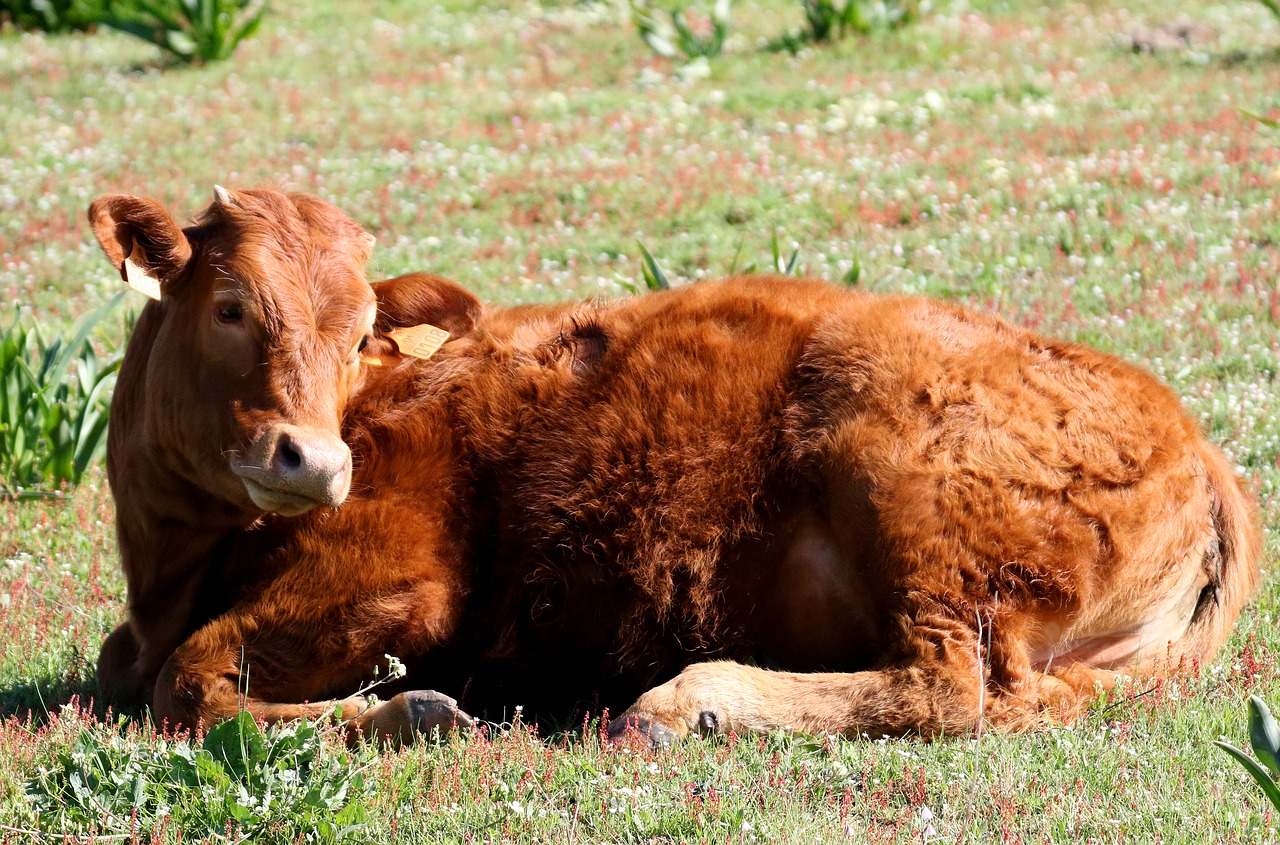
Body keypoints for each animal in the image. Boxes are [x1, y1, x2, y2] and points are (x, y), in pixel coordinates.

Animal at [87, 188, 1259, 742]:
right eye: (231, 306)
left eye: (362, 326)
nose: (314, 459)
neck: (172, 568)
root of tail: (1199, 444)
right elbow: (137, 672)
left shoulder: (394, 579)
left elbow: (188, 681)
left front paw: (408, 710)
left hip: (911, 491)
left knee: (952, 683)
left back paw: (687, 699)